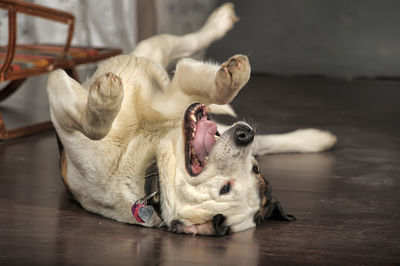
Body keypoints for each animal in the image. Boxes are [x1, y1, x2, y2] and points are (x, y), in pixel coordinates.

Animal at [45, 2, 336, 235]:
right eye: (256, 169)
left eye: (225, 189)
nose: (244, 135)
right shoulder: (176, 94)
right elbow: (209, 88)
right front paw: (230, 78)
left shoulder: (62, 109)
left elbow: (92, 126)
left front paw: (104, 99)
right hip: (155, 52)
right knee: (187, 42)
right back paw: (221, 22)